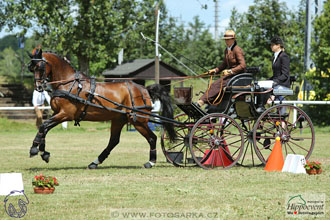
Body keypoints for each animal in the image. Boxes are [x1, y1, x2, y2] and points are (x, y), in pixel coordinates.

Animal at [28, 48, 177, 168]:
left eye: (40, 67)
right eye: (32, 68)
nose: (38, 87)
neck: (68, 84)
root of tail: (145, 89)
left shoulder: (65, 114)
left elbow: (44, 126)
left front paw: (34, 148)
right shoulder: (57, 113)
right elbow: (44, 128)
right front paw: (43, 152)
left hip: (138, 120)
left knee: (152, 138)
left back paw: (151, 162)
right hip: (119, 120)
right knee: (114, 141)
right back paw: (95, 162)